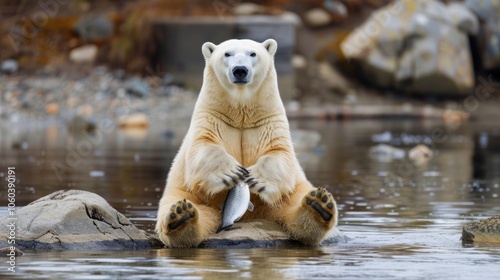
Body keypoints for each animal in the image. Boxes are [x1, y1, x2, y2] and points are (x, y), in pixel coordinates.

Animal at [155, 38, 336, 247]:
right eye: (227, 53)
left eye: (253, 53)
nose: (240, 70)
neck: (241, 115)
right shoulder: (210, 118)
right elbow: (202, 147)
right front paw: (232, 172)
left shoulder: (270, 122)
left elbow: (280, 153)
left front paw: (256, 178)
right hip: (188, 193)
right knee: (182, 207)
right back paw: (181, 216)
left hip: (286, 196)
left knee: (297, 201)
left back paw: (319, 204)